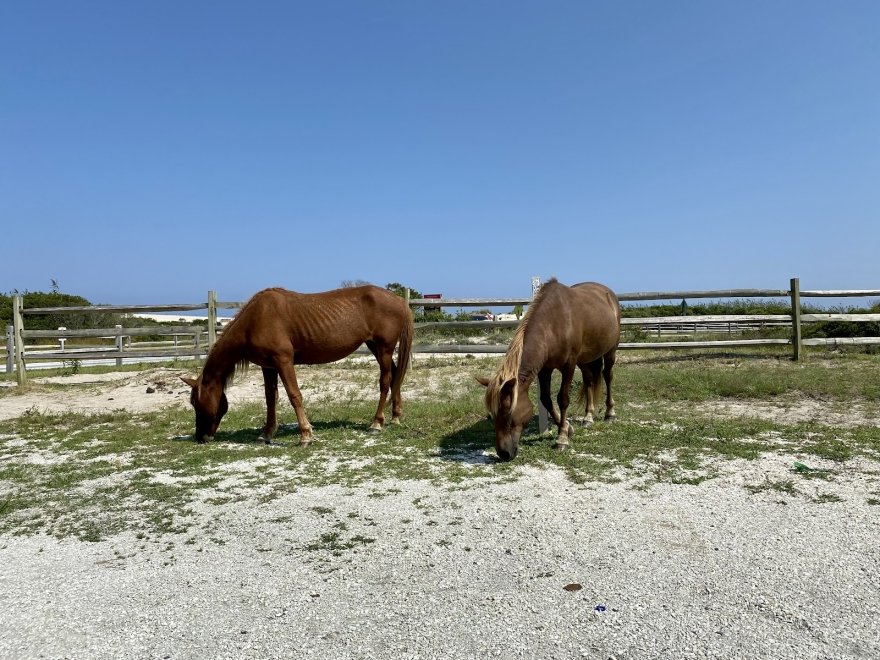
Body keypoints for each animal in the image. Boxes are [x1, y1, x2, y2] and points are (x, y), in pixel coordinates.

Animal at [181, 286, 412, 446]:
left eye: (197, 403)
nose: (200, 437)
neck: (256, 319)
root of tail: (398, 300)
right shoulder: (268, 367)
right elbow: (270, 399)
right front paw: (267, 434)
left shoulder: (284, 361)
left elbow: (294, 395)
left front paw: (305, 435)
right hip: (375, 347)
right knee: (395, 376)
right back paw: (395, 417)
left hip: (384, 348)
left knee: (385, 381)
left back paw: (377, 423)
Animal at [478, 278, 624, 458]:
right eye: (493, 415)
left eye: (508, 414)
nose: (503, 453)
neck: (552, 325)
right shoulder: (544, 369)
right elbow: (546, 399)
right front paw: (567, 427)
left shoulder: (569, 365)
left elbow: (562, 399)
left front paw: (562, 439)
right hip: (584, 359)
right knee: (589, 380)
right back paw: (588, 416)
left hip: (611, 351)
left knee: (608, 376)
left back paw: (610, 413)